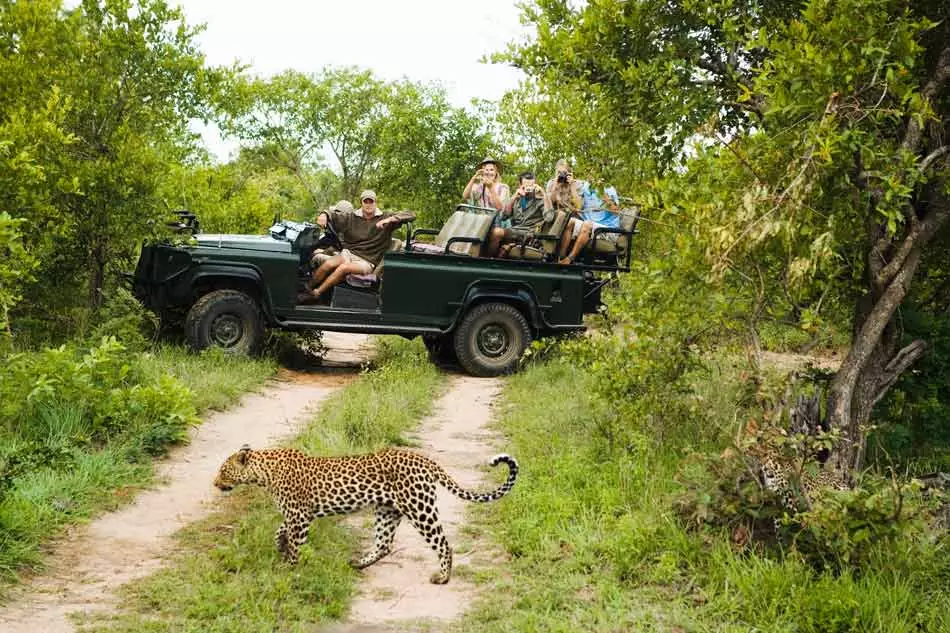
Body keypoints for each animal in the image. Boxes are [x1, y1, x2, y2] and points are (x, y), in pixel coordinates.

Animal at [214, 444, 520, 584]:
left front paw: (290, 569)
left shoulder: (299, 517)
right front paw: (280, 545)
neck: (263, 473)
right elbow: (280, 530)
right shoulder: (298, 516)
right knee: (384, 544)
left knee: (443, 544)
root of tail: (425, 459)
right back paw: (358, 563)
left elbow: (295, 544)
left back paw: (442, 577)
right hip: (387, 511)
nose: (215, 484)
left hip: (419, 507)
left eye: (223, 471)